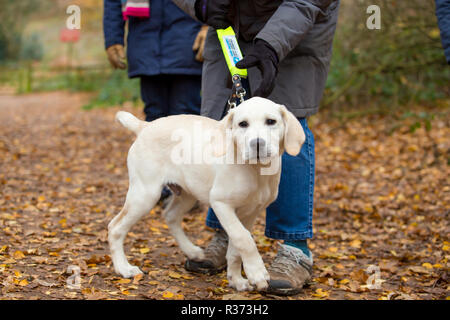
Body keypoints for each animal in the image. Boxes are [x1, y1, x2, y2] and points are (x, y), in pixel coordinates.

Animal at [108, 96, 304, 292]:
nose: (257, 143)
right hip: (145, 194)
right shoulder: (221, 203)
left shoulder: (250, 212)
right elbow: (244, 239)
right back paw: (124, 268)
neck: (256, 171)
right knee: (115, 227)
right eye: (243, 124)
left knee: (170, 215)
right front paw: (257, 273)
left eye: (271, 121)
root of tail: (145, 126)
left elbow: (236, 248)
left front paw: (236, 280)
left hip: (188, 193)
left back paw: (192, 252)